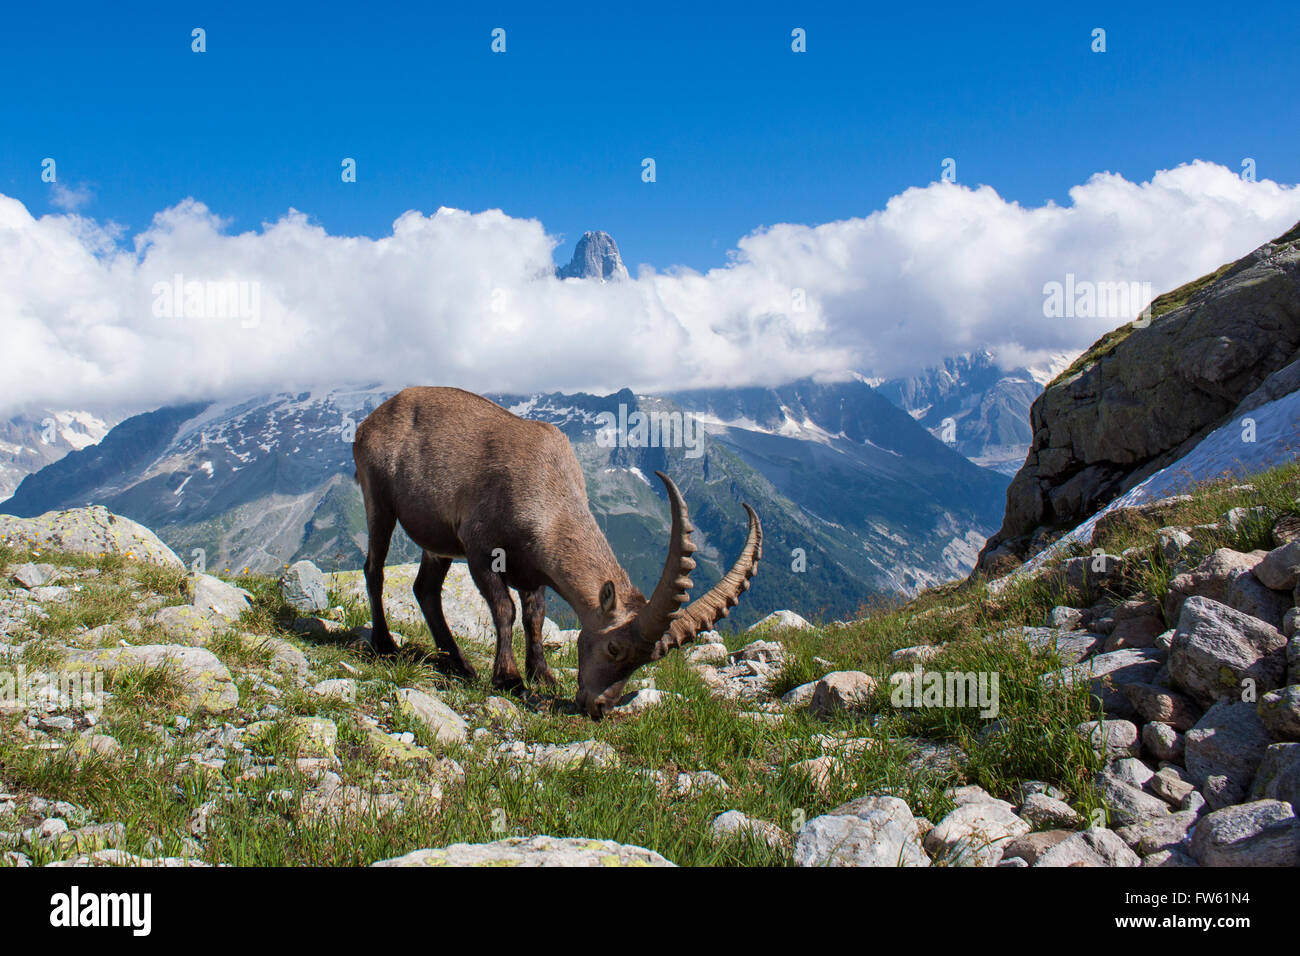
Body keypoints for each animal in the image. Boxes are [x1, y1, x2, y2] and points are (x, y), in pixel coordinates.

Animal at [352, 386, 762, 718]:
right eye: (614, 648)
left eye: (645, 661)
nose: (599, 707)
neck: (547, 491)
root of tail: (370, 421)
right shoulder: (480, 550)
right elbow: (506, 610)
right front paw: (509, 679)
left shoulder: (533, 570)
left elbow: (534, 617)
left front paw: (543, 675)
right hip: (379, 501)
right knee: (375, 570)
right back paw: (385, 645)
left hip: (437, 543)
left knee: (425, 589)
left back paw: (458, 663)